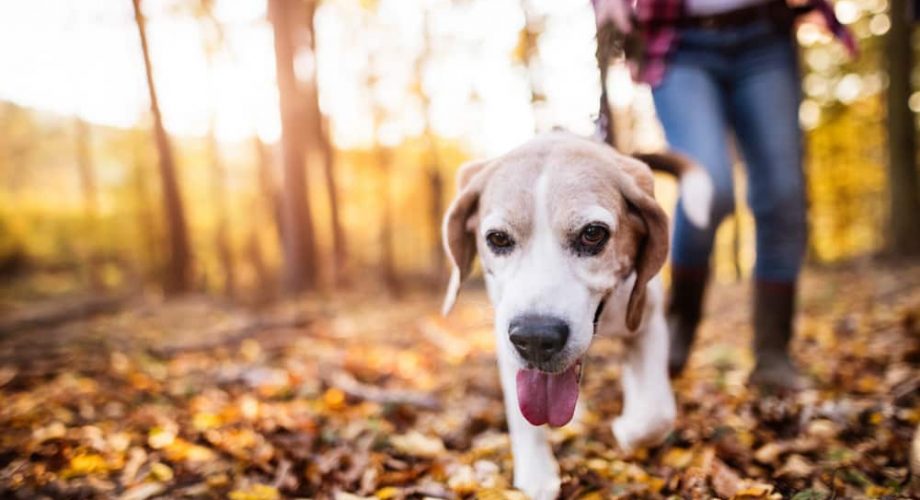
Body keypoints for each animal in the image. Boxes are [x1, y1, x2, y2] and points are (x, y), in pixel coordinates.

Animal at [438, 131, 712, 498]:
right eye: (497, 238)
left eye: (593, 233)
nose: (535, 338)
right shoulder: (506, 341)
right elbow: (523, 418)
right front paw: (537, 475)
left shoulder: (647, 322)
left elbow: (656, 414)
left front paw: (627, 429)